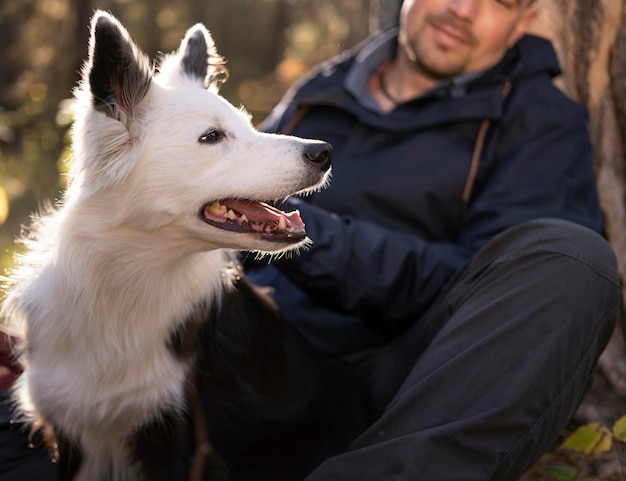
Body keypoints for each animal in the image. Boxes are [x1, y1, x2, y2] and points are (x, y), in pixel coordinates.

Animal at [1, 11, 366, 480]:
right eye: (211, 137)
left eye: (248, 125)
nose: (323, 152)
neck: (129, 280)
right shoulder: (74, 433)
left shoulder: (181, 442)